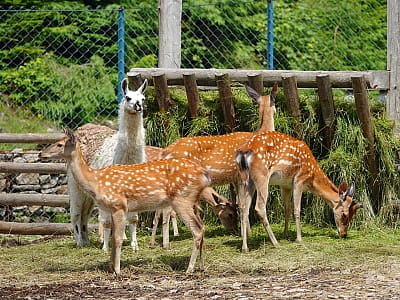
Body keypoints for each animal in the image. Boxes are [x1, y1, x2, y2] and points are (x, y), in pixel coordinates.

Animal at [39, 129, 209, 274]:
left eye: (60, 144)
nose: (41, 153)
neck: (95, 181)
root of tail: (204, 173)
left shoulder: (119, 205)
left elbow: (118, 239)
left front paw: (117, 270)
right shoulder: (112, 209)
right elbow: (113, 238)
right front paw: (111, 267)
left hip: (182, 199)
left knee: (197, 229)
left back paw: (189, 268)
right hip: (192, 201)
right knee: (202, 225)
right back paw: (201, 265)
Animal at [159, 83, 278, 250]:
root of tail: (165, 152)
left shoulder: (237, 178)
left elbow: (241, 205)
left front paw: (246, 234)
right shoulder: (241, 177)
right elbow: (243, 206)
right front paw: (247, 235)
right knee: (168, 210)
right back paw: (166, 244)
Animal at [236, 131, 364, 251]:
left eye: (353, 216)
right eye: (344, 214)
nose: (344, 234)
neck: (312, 178)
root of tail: (244, 152)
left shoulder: (285, 185)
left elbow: (287, 209)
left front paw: (285, 235)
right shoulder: (299, 180)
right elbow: (297, 210)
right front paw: (299, 239)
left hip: (245, 180)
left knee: (243, 207)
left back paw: (245, 247)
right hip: (261, 175)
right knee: (259, 208)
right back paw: (275, 243)